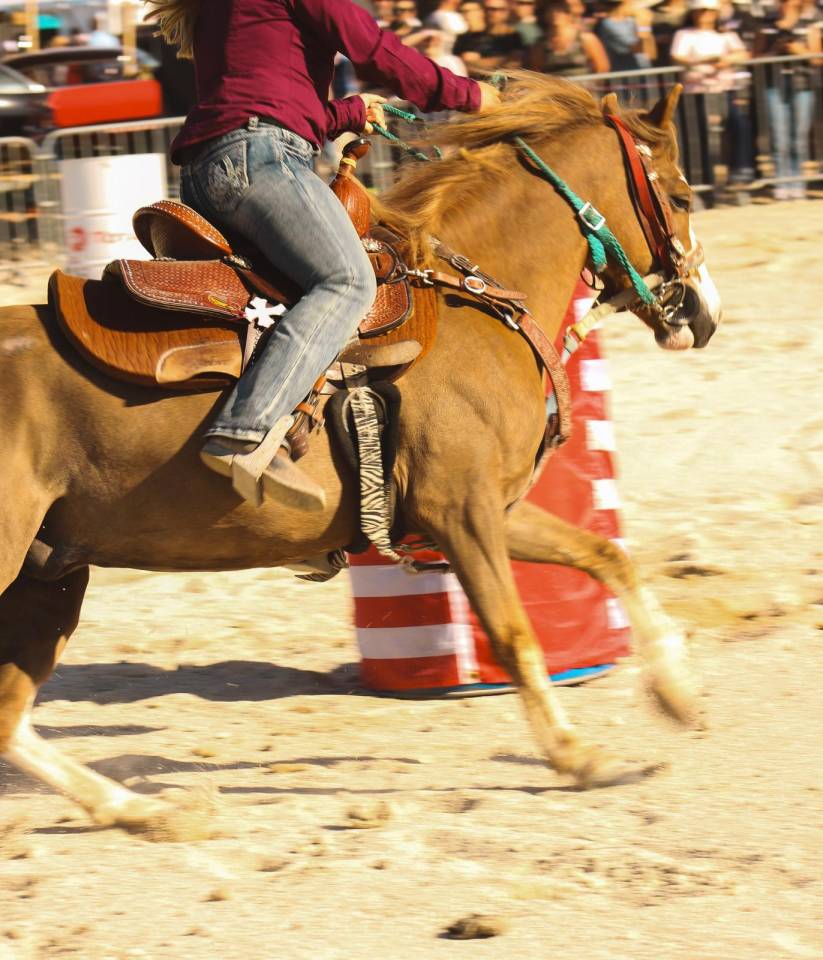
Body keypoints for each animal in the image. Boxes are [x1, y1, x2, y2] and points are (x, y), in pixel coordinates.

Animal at [0, 74, 721, 838]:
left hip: (51, 574)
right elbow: (513, 632)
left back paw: (138, 808)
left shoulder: (484, 509)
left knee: (8, 717)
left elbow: (606, 556)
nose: (703, 313)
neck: (471, 307)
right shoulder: (460, 512)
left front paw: (676, 693)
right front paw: (576, 754)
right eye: (679, 196)